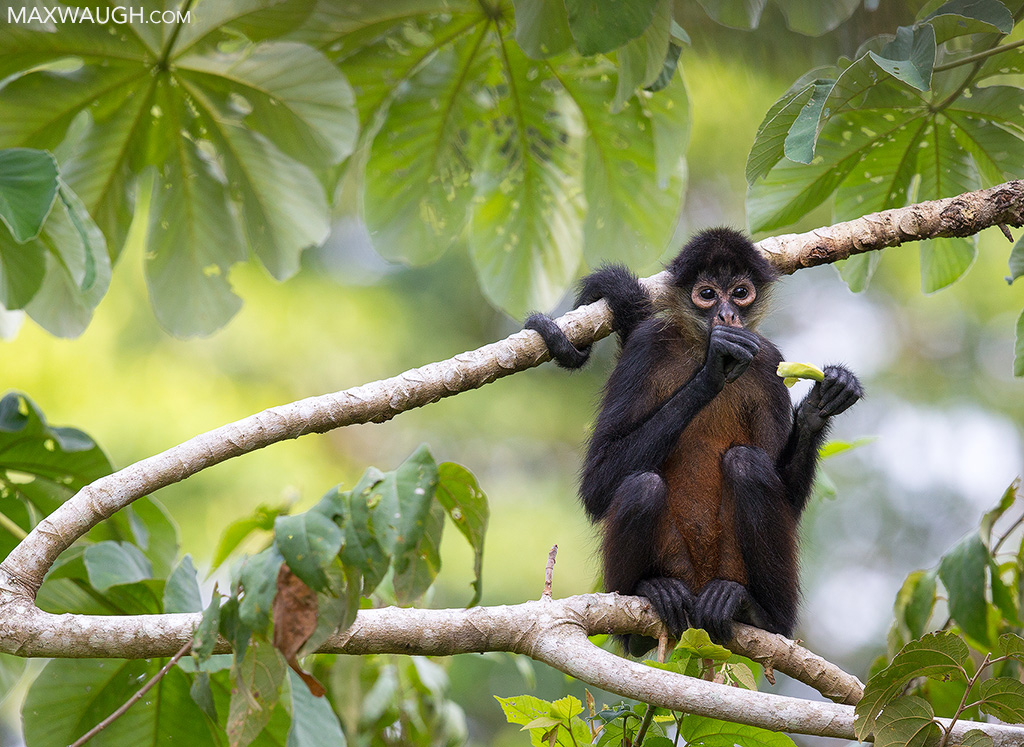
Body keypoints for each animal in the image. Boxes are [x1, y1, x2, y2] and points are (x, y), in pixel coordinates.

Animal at [524, 228, 863, 652]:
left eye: (740, 292)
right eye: (707, 294)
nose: (727, 316)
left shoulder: (768, 360)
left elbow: (790, 499)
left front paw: (819, 406)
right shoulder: (646, 347)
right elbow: (596, 487)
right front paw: (712, 370)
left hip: (732, 566)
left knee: (748, 466)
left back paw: (763, 616)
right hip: (674, 561)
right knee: (643, 485)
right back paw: (649, 595)